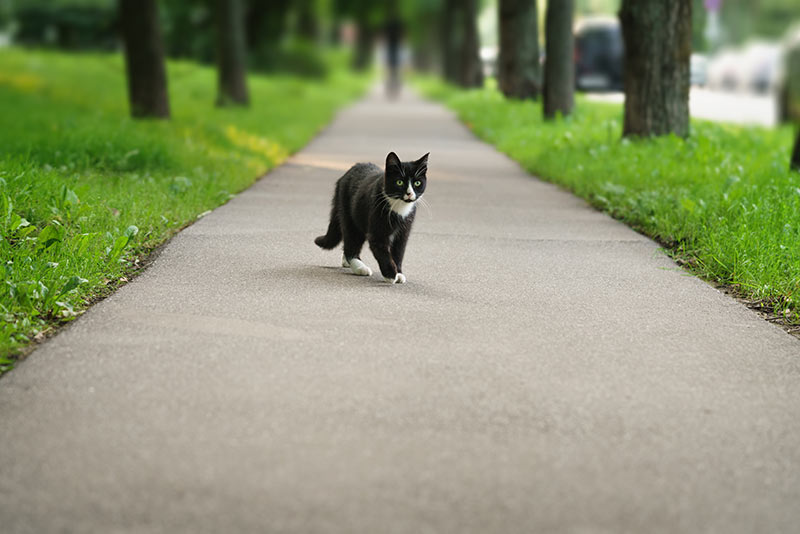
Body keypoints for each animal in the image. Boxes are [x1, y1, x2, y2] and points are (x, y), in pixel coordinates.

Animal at [314, 152, 428, 284]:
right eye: (399, 182)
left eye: (417, 183)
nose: (409, 193)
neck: (399, 207)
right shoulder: (377, 232)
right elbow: (381, 251)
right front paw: (390, 274)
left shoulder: (404, 232)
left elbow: (399, 252)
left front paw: (399, 272)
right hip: (349, 214)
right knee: (351, 241)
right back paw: (359, 267)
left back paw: (347, 262)